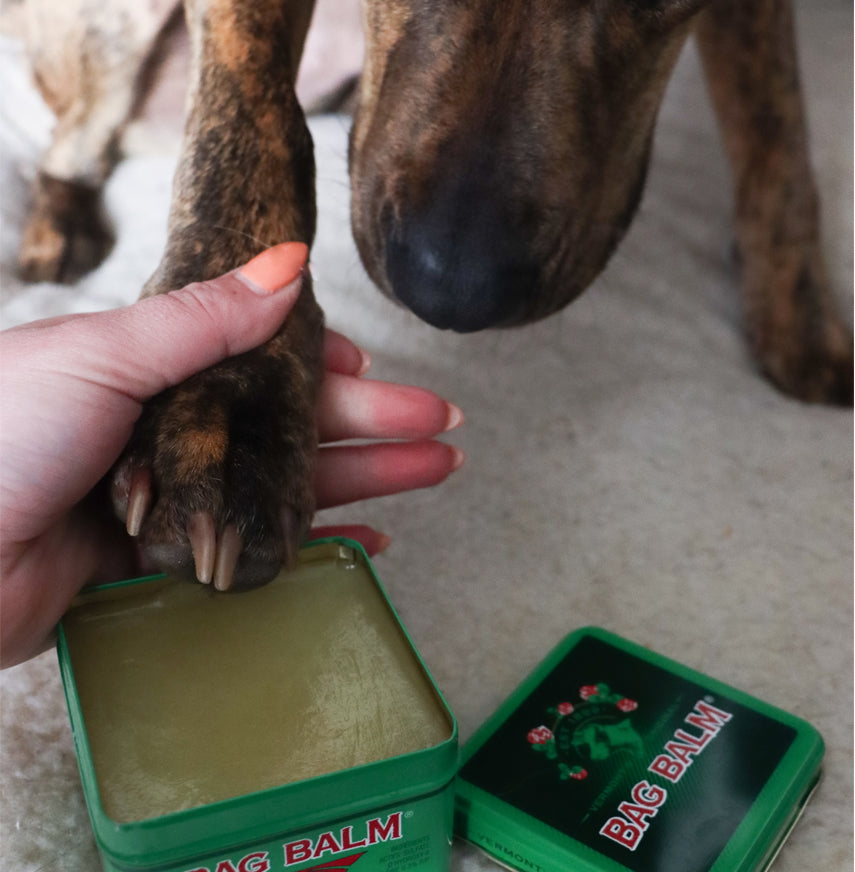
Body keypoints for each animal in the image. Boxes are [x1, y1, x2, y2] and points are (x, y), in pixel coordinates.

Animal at [11, 0, 848, 588]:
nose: (452, 290)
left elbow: (775, 124)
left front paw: (801, 323)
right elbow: (245, 118)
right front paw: (224, 405)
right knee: (76, 135)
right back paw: (58, 227)